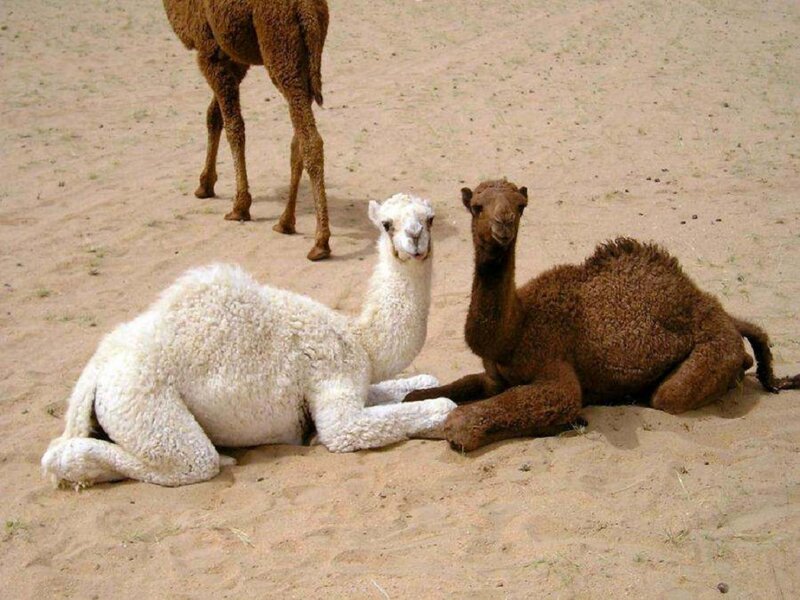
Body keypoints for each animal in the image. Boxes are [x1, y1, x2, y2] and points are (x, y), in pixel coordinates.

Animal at [42, 194, 454, 487]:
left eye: (430, 218)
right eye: (386, 224)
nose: (415, 238)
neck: (361, 341)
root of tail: (97, 373)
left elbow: (425, 381)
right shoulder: (334, 381)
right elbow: (428, 408)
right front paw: (314, 439)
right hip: (144, 406)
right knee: (187, 460)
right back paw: (222, 456)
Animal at [162, 0, 332, 261]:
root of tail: (308, 9)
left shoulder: (210, 52)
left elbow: (234, 126)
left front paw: (240, 206)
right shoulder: (234, 59)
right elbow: (214, 117)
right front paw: (205, 185)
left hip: (281, 49)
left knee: (310, 140)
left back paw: (320, 242)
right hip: (305, 59)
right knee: (298, 140)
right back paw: (285, 222)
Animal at [404, 179, 800, 452]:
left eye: (520, 205)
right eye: (477, 206)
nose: (503, 224)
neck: (515, 330)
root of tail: (725, 316)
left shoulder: (554, 364)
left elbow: (484, 416)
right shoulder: (494, 377)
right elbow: (448, 389)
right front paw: (414, 402)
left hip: (712, 349)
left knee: (671, 395)